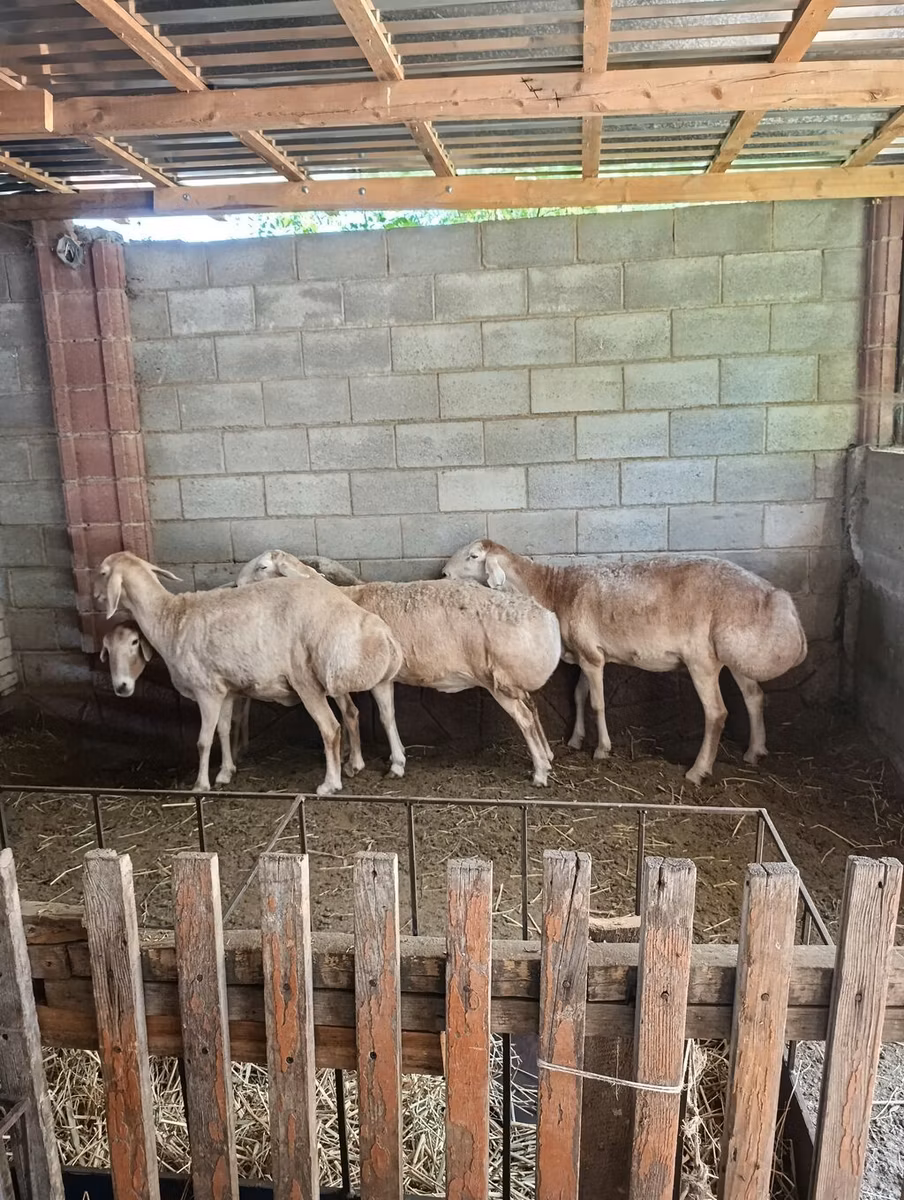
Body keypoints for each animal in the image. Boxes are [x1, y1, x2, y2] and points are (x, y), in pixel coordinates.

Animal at [95, 551, 404, 796]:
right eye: (107, 650)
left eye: (102, 573)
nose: (121, 688)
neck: (170, 618)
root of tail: (376, 628)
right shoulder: (226, 690)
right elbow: (223, 729)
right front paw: (225, 772)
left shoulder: (206, 689)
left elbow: (203, 741)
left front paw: (200, 785)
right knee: (362, 715)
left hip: (308, 683)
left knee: (331, 728)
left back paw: (330, 784)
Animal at [239, 549, 562, 786]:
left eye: (263, 567)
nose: (236, 586)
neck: (347, 597)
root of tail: (548, 619)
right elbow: (365, 714)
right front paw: (356, 760)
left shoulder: (380, 679)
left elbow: (384, 717)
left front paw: (393, 765)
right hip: (512, 679)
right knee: (532, 708)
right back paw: (547, 757)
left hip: (499, 680)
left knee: (524, 718)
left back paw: (539, 772)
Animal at [441, 540, 808, 785]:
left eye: (473, 556)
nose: (443, 573)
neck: (556, 590)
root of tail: (778, 599)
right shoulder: (586, 653)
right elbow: (579, 696)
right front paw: (575, 739)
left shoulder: (592, 657)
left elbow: (598, 703)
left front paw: (602, 749)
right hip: (734, 655)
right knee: (754, 696)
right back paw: (754, 752)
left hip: (701, 660)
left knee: (716, 713)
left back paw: (697, 771)